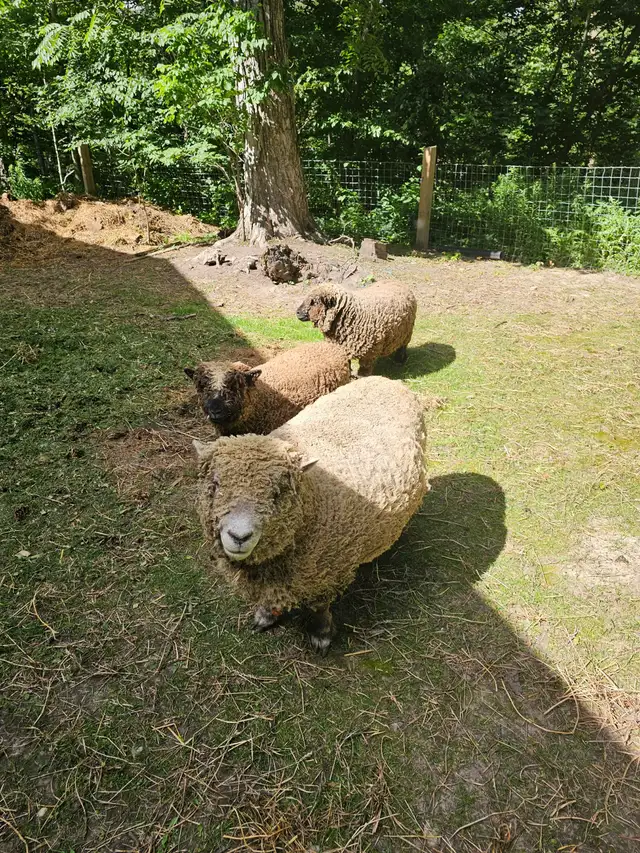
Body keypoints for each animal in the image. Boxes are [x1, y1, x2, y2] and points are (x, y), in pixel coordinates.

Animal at [193, 375, 428, 653]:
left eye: (278, 493)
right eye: (215, 485)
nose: (239, 536)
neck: (313, 502)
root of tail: (388, 381)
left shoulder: (325, 573)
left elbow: (319, 607)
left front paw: (321, 633)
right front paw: (266, 615)